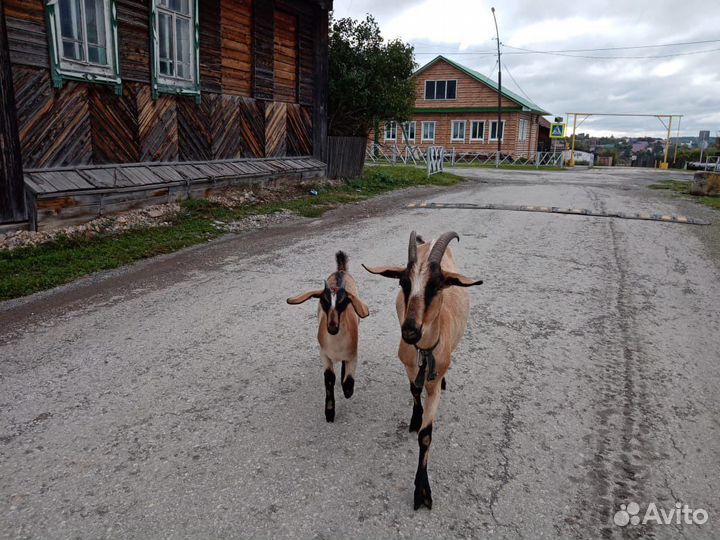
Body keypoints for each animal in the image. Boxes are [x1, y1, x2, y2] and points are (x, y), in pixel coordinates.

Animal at [287, 251, 370, 422]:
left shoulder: (353, 354)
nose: (332, 327)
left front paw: (347, 391)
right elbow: (329, 378)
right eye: (323, 301)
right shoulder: (324, 354)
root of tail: (341, 271)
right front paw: (329, 412)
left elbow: (349, 379)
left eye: (343, 302)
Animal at [363, 231, 483, 510]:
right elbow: (414, 391)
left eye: (436, 285)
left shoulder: (434, 384)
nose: (409, 330)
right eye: (403, 283)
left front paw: (422, 491)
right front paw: (415, 419)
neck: (425, 351)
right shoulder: (408, 365)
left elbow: (426, 435)